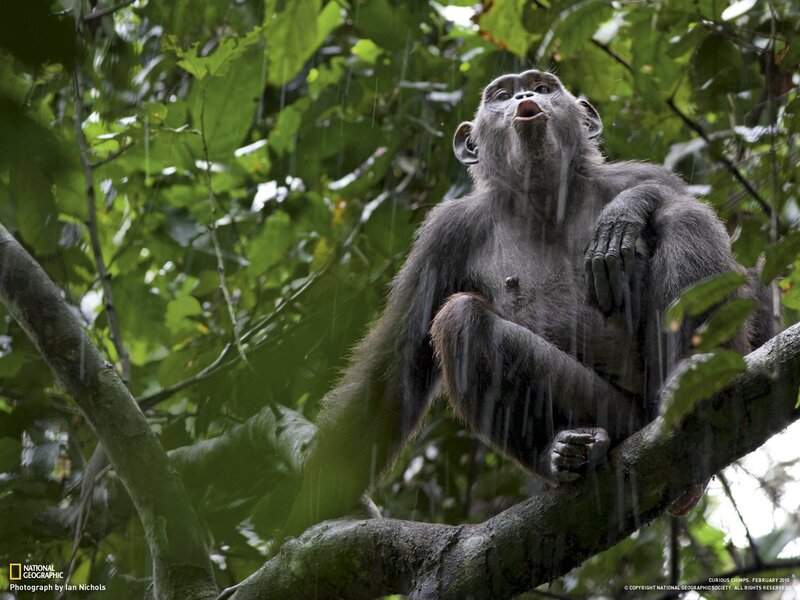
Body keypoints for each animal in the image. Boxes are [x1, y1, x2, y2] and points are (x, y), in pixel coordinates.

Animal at [282, 70, 765, 537]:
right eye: (500, 94)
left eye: (543, 86)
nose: (523, 97)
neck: (543, 196)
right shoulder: (444, 236)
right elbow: (396, 363)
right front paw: (317, 495)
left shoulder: (638, 175)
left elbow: (673, 199)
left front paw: (625, 213)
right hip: (615, 416)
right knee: (461, 320)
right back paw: (565, 454)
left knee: (684, 218)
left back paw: (692, 374)